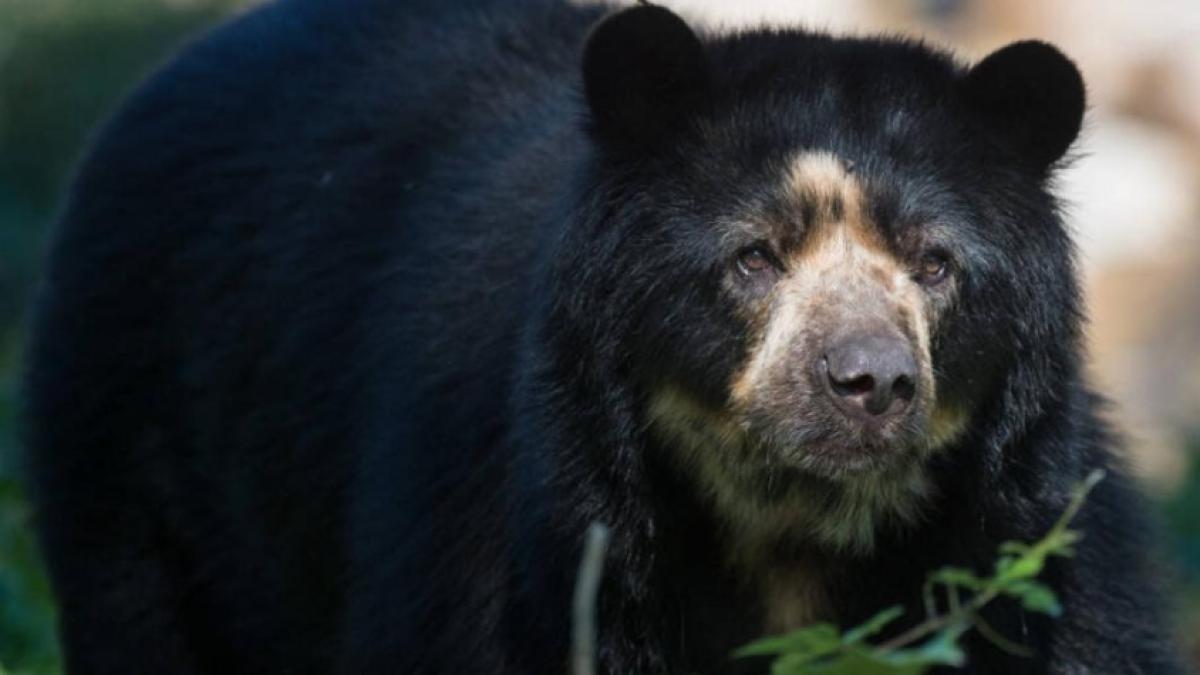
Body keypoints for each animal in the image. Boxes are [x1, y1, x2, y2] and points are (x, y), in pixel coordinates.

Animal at [22, 0, 1185, 673]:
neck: (791, 537)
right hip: (134, 467)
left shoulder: (1035, 549)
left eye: (936, 264)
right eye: (753, 257)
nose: (870, 382)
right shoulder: (527, 542)